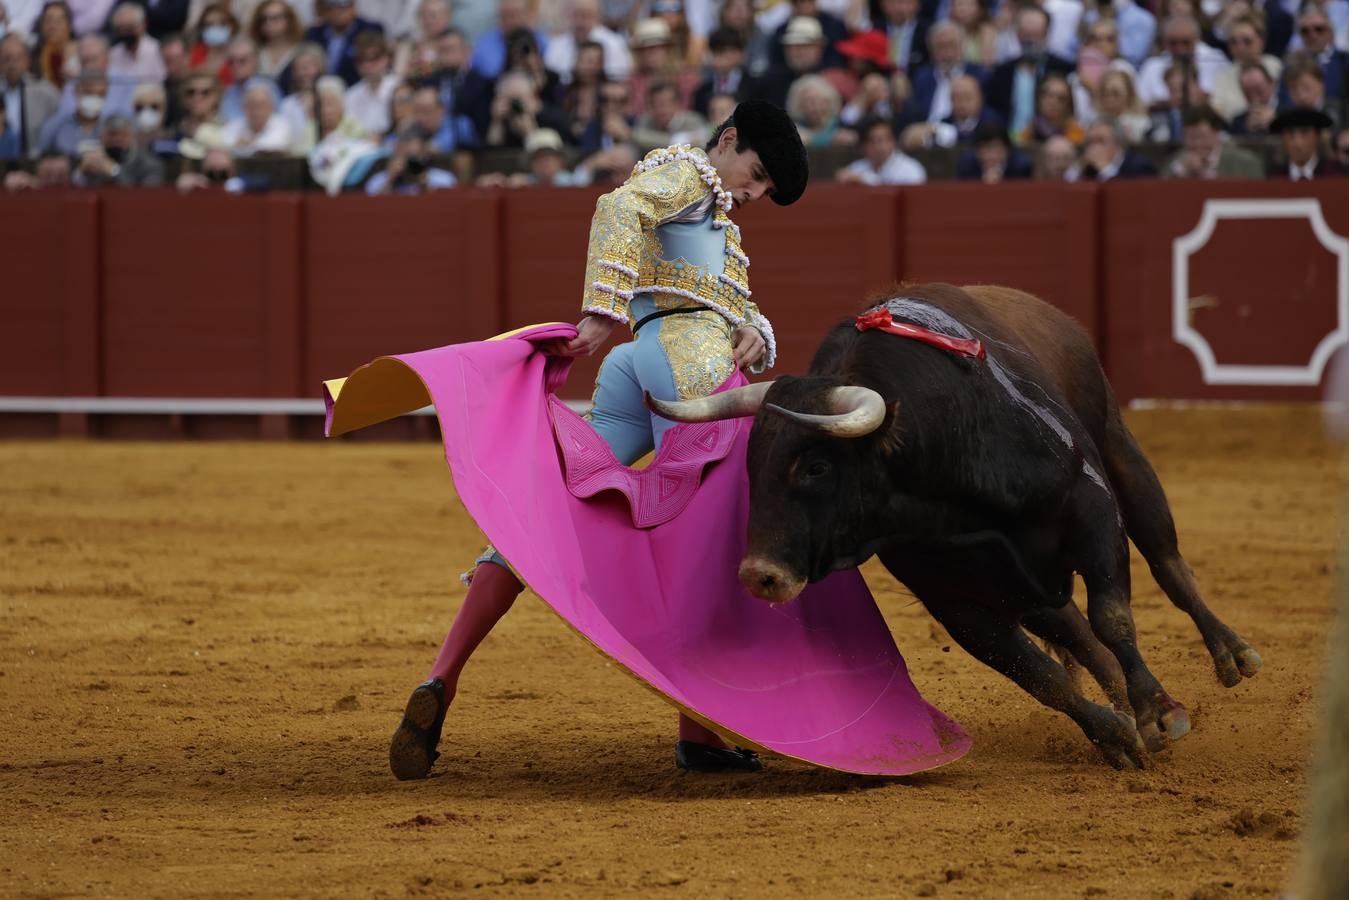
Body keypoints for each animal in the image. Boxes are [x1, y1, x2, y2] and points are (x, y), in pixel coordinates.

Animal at [652, 282, 1262, 766]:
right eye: (751, 465)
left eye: (817, 466)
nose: (760, 575)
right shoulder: (955, 600)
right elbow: (1039, 676)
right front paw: (1115, 735)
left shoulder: (1091, 508)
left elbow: (1113, 617)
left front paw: (1158, 714)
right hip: (1024, 585)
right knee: (1069, 627)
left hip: (1119, 448)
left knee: (1166, 563)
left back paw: (1233, 655)